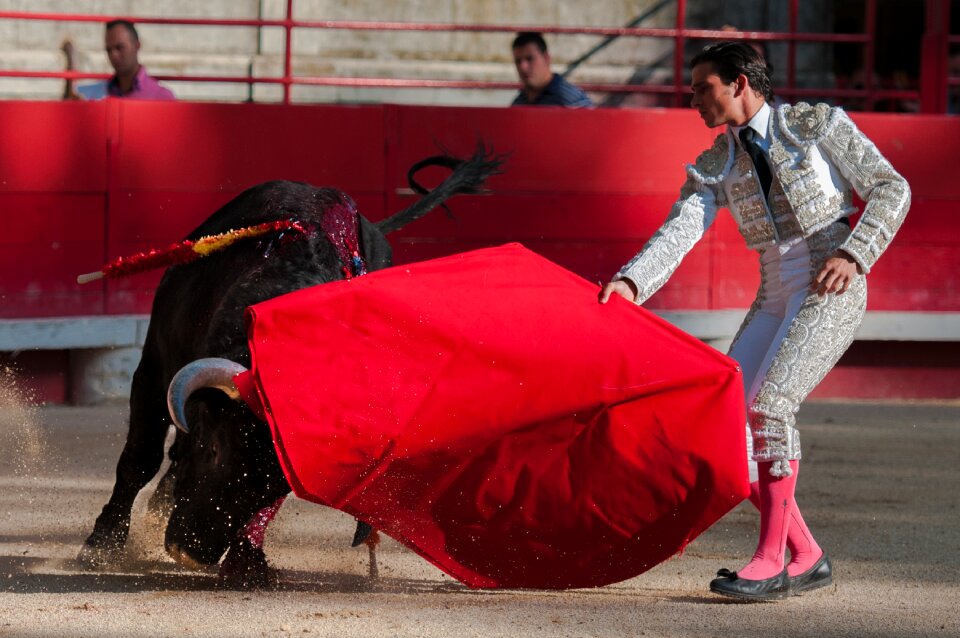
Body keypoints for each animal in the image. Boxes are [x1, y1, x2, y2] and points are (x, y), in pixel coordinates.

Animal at [79, 148, 502, 588]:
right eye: (214, 450)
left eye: (274, 489)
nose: (191, 551)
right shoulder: (153, 368)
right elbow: (140, 457)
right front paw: (102, 544)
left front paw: (247, 560)